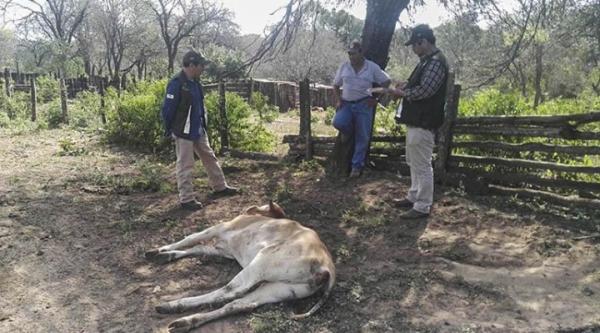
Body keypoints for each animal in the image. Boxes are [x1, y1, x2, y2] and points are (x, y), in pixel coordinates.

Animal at [144, 201, 336, 330]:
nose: (251, 207)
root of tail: (327, 268)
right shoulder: (223, 250)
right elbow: (198, 247)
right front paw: (165, 255)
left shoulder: (220, 227)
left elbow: (191, 238)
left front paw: (159, 250)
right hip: (282, 289)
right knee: (241, 304)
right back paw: (186, 322)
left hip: (262, 262)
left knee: (229, 291)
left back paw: (174, 305)